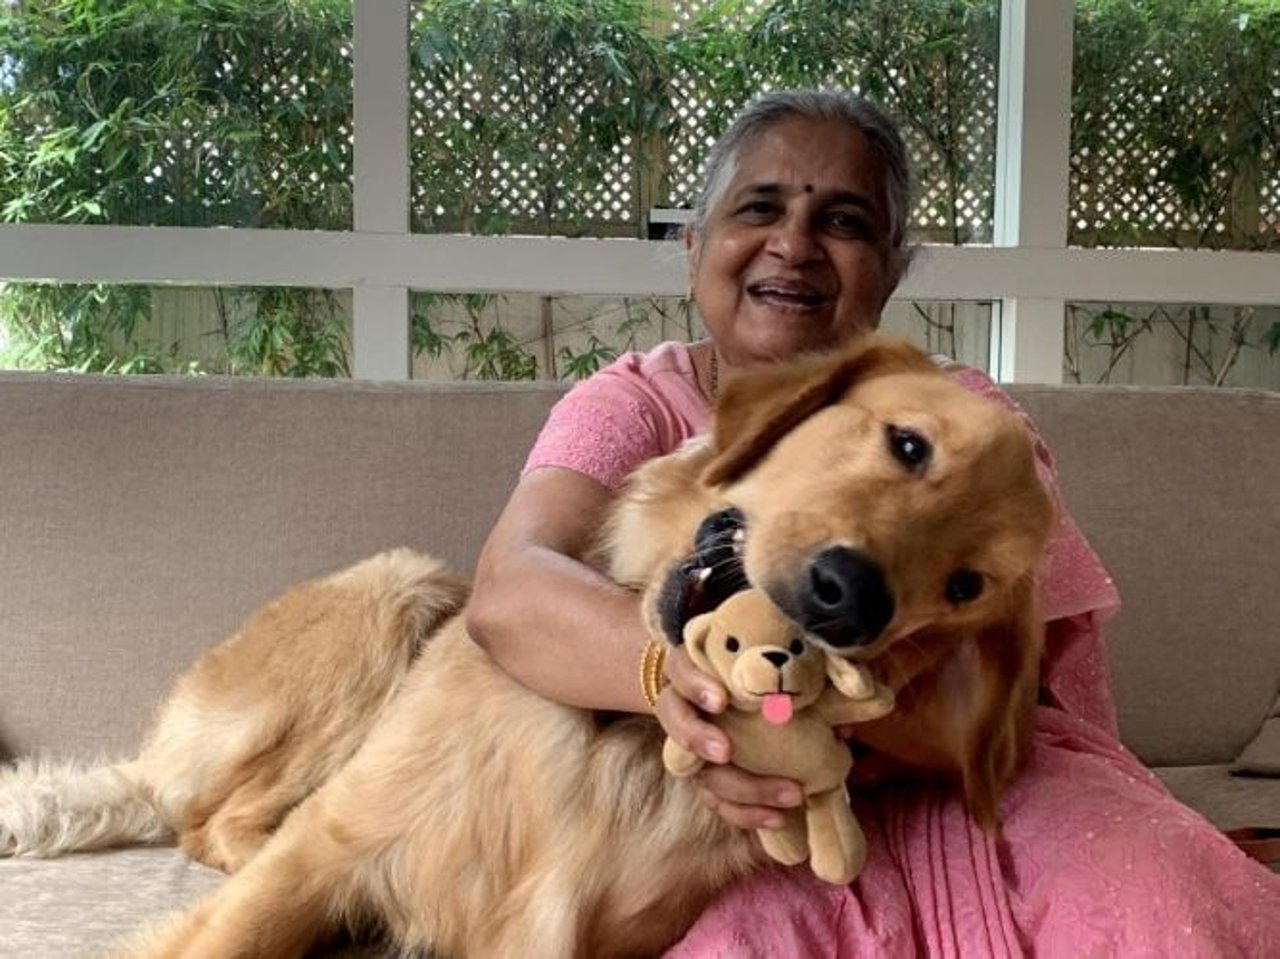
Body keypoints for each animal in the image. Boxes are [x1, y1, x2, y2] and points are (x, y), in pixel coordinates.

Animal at [0, 332, 1049, 952]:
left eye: (966, 586)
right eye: (907, 444)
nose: (848, 599)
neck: (619, 734)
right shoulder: (327, 854)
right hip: (401, 584)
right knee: (213, 818)